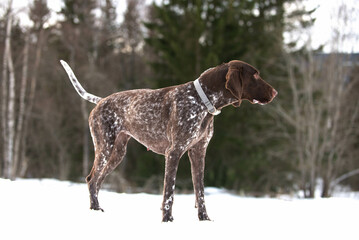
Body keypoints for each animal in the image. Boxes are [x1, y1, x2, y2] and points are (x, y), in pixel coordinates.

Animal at [60, 59, 278, 221]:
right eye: (255, 75)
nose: (275, 92)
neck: (202, 101)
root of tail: (101, 101)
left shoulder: (198, 153)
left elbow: (200, 191)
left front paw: (204, 219)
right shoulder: (174, 152)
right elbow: (169, 193)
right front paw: (167, 220)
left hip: (117, 153)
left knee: (98, 181)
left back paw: (97, 210)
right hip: (105, 147)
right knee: (92, 179)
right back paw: (95, 211)